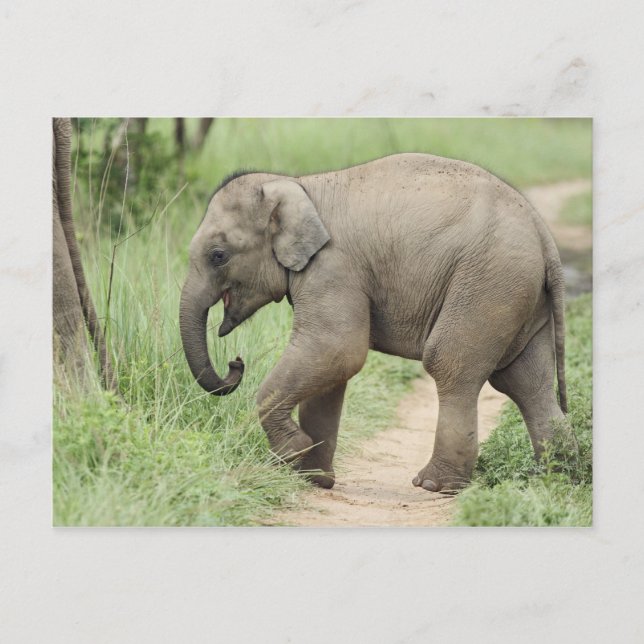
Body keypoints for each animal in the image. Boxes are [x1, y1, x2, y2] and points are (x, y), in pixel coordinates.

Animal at [179, 152, 569, 492]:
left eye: (218, 256)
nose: (236, 363)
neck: (297, 185)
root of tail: (543, 234)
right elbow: (331, 370)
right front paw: (313, 479)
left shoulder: (334, 267)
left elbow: (337, 349)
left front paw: (294, 451)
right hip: (519, 294)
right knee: (527, 383)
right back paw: (556, 478)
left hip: (488, 283)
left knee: (450, 365)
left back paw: (434, 485)